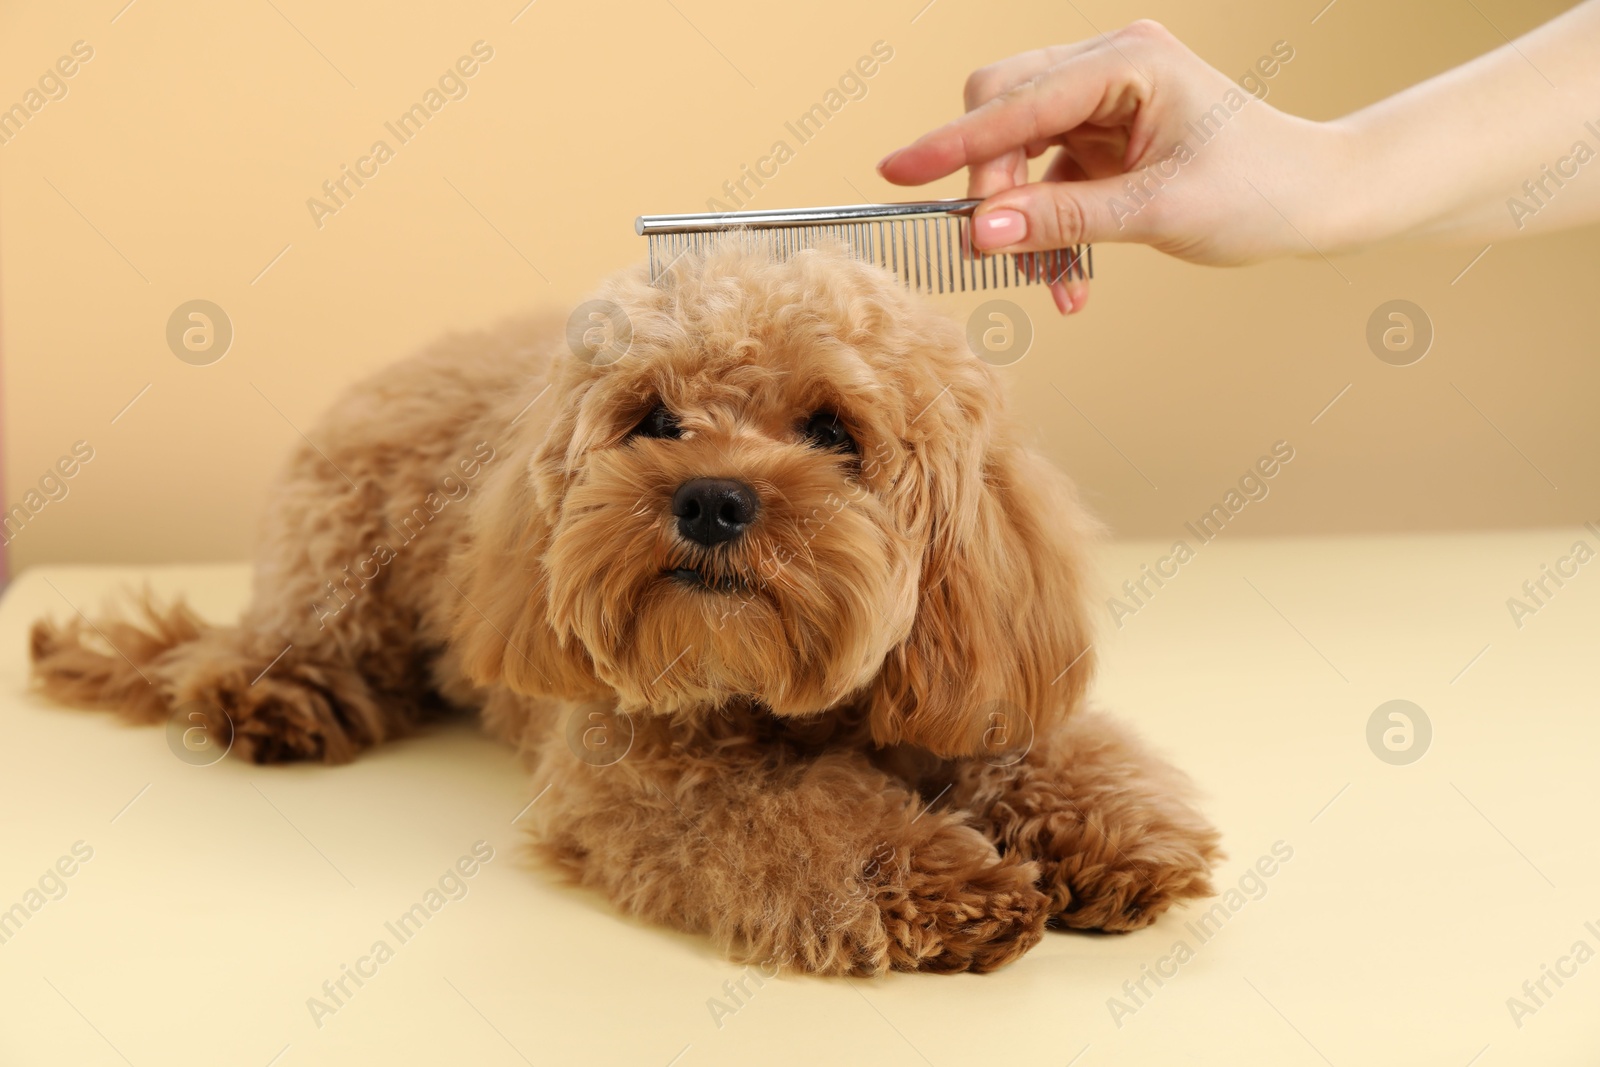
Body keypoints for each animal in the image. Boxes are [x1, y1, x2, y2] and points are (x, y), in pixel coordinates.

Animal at [28, 241, 1222, 979]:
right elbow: (809, 821)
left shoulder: (974, 680)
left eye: (833, 430)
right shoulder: (642, 783)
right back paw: (277, 699)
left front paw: (1121, 831)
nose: (711, 497)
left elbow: (1052, 748)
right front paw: (947, 878)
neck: (785, 699)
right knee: (256, 648)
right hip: (340, 564)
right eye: (655, 419)